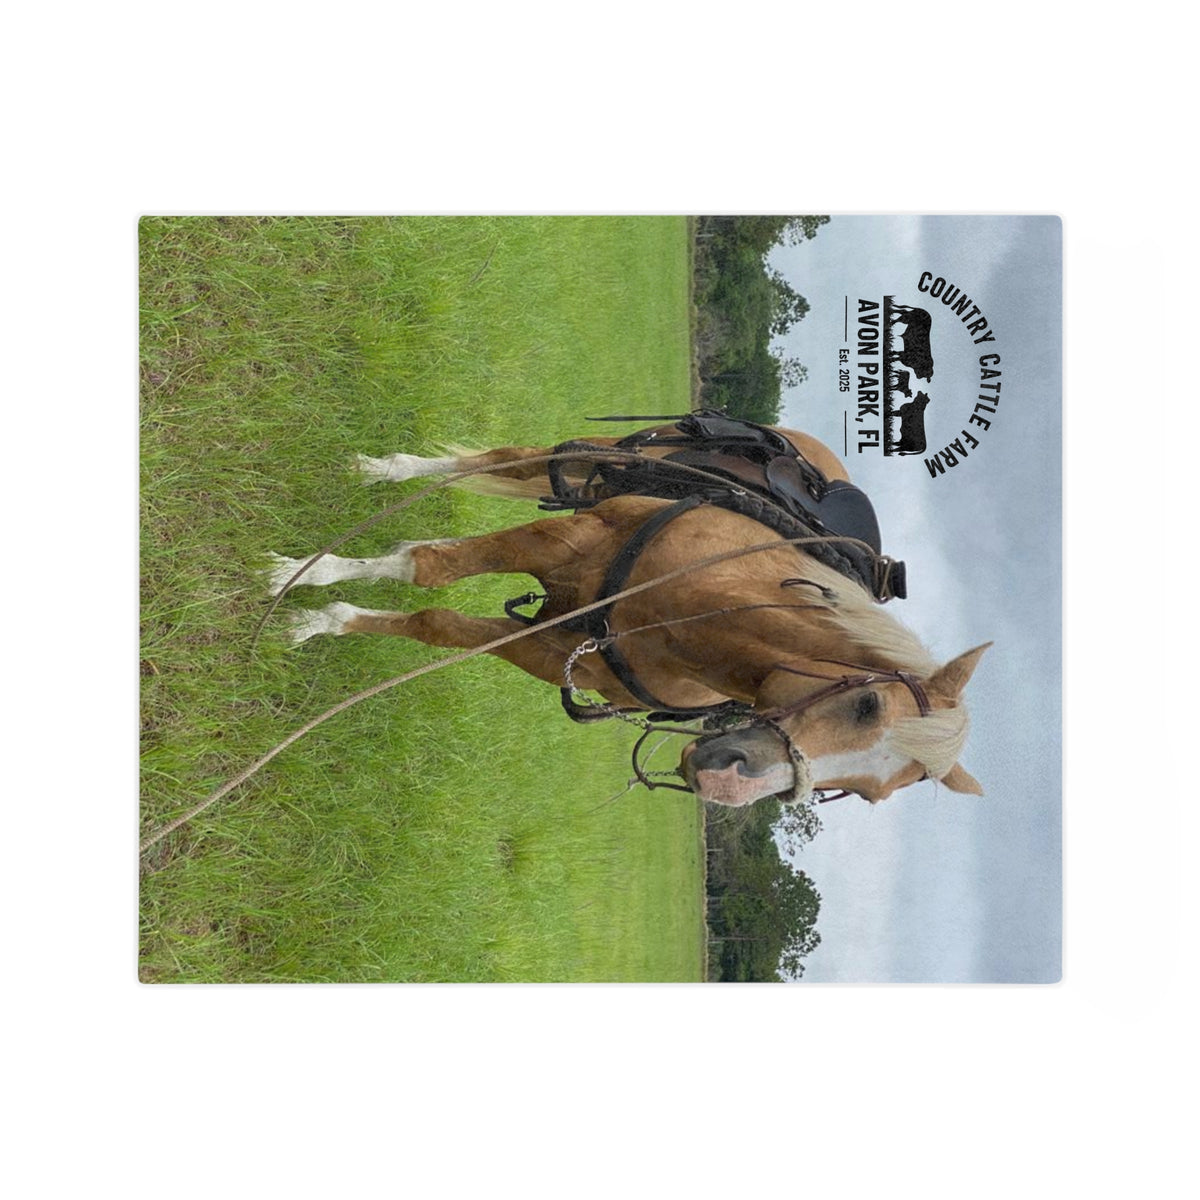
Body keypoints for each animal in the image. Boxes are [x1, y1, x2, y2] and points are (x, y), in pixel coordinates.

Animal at [266, 423, 989, 808]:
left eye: (868, 794)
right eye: (866, 707)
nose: (726, 784)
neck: (689, 618)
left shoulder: (549, 650)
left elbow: (434, 622)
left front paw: (328, 617)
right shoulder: (565, 539)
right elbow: (427, 568)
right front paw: (303, 582)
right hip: (594, 457)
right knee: (501, 462)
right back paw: (387, 470)